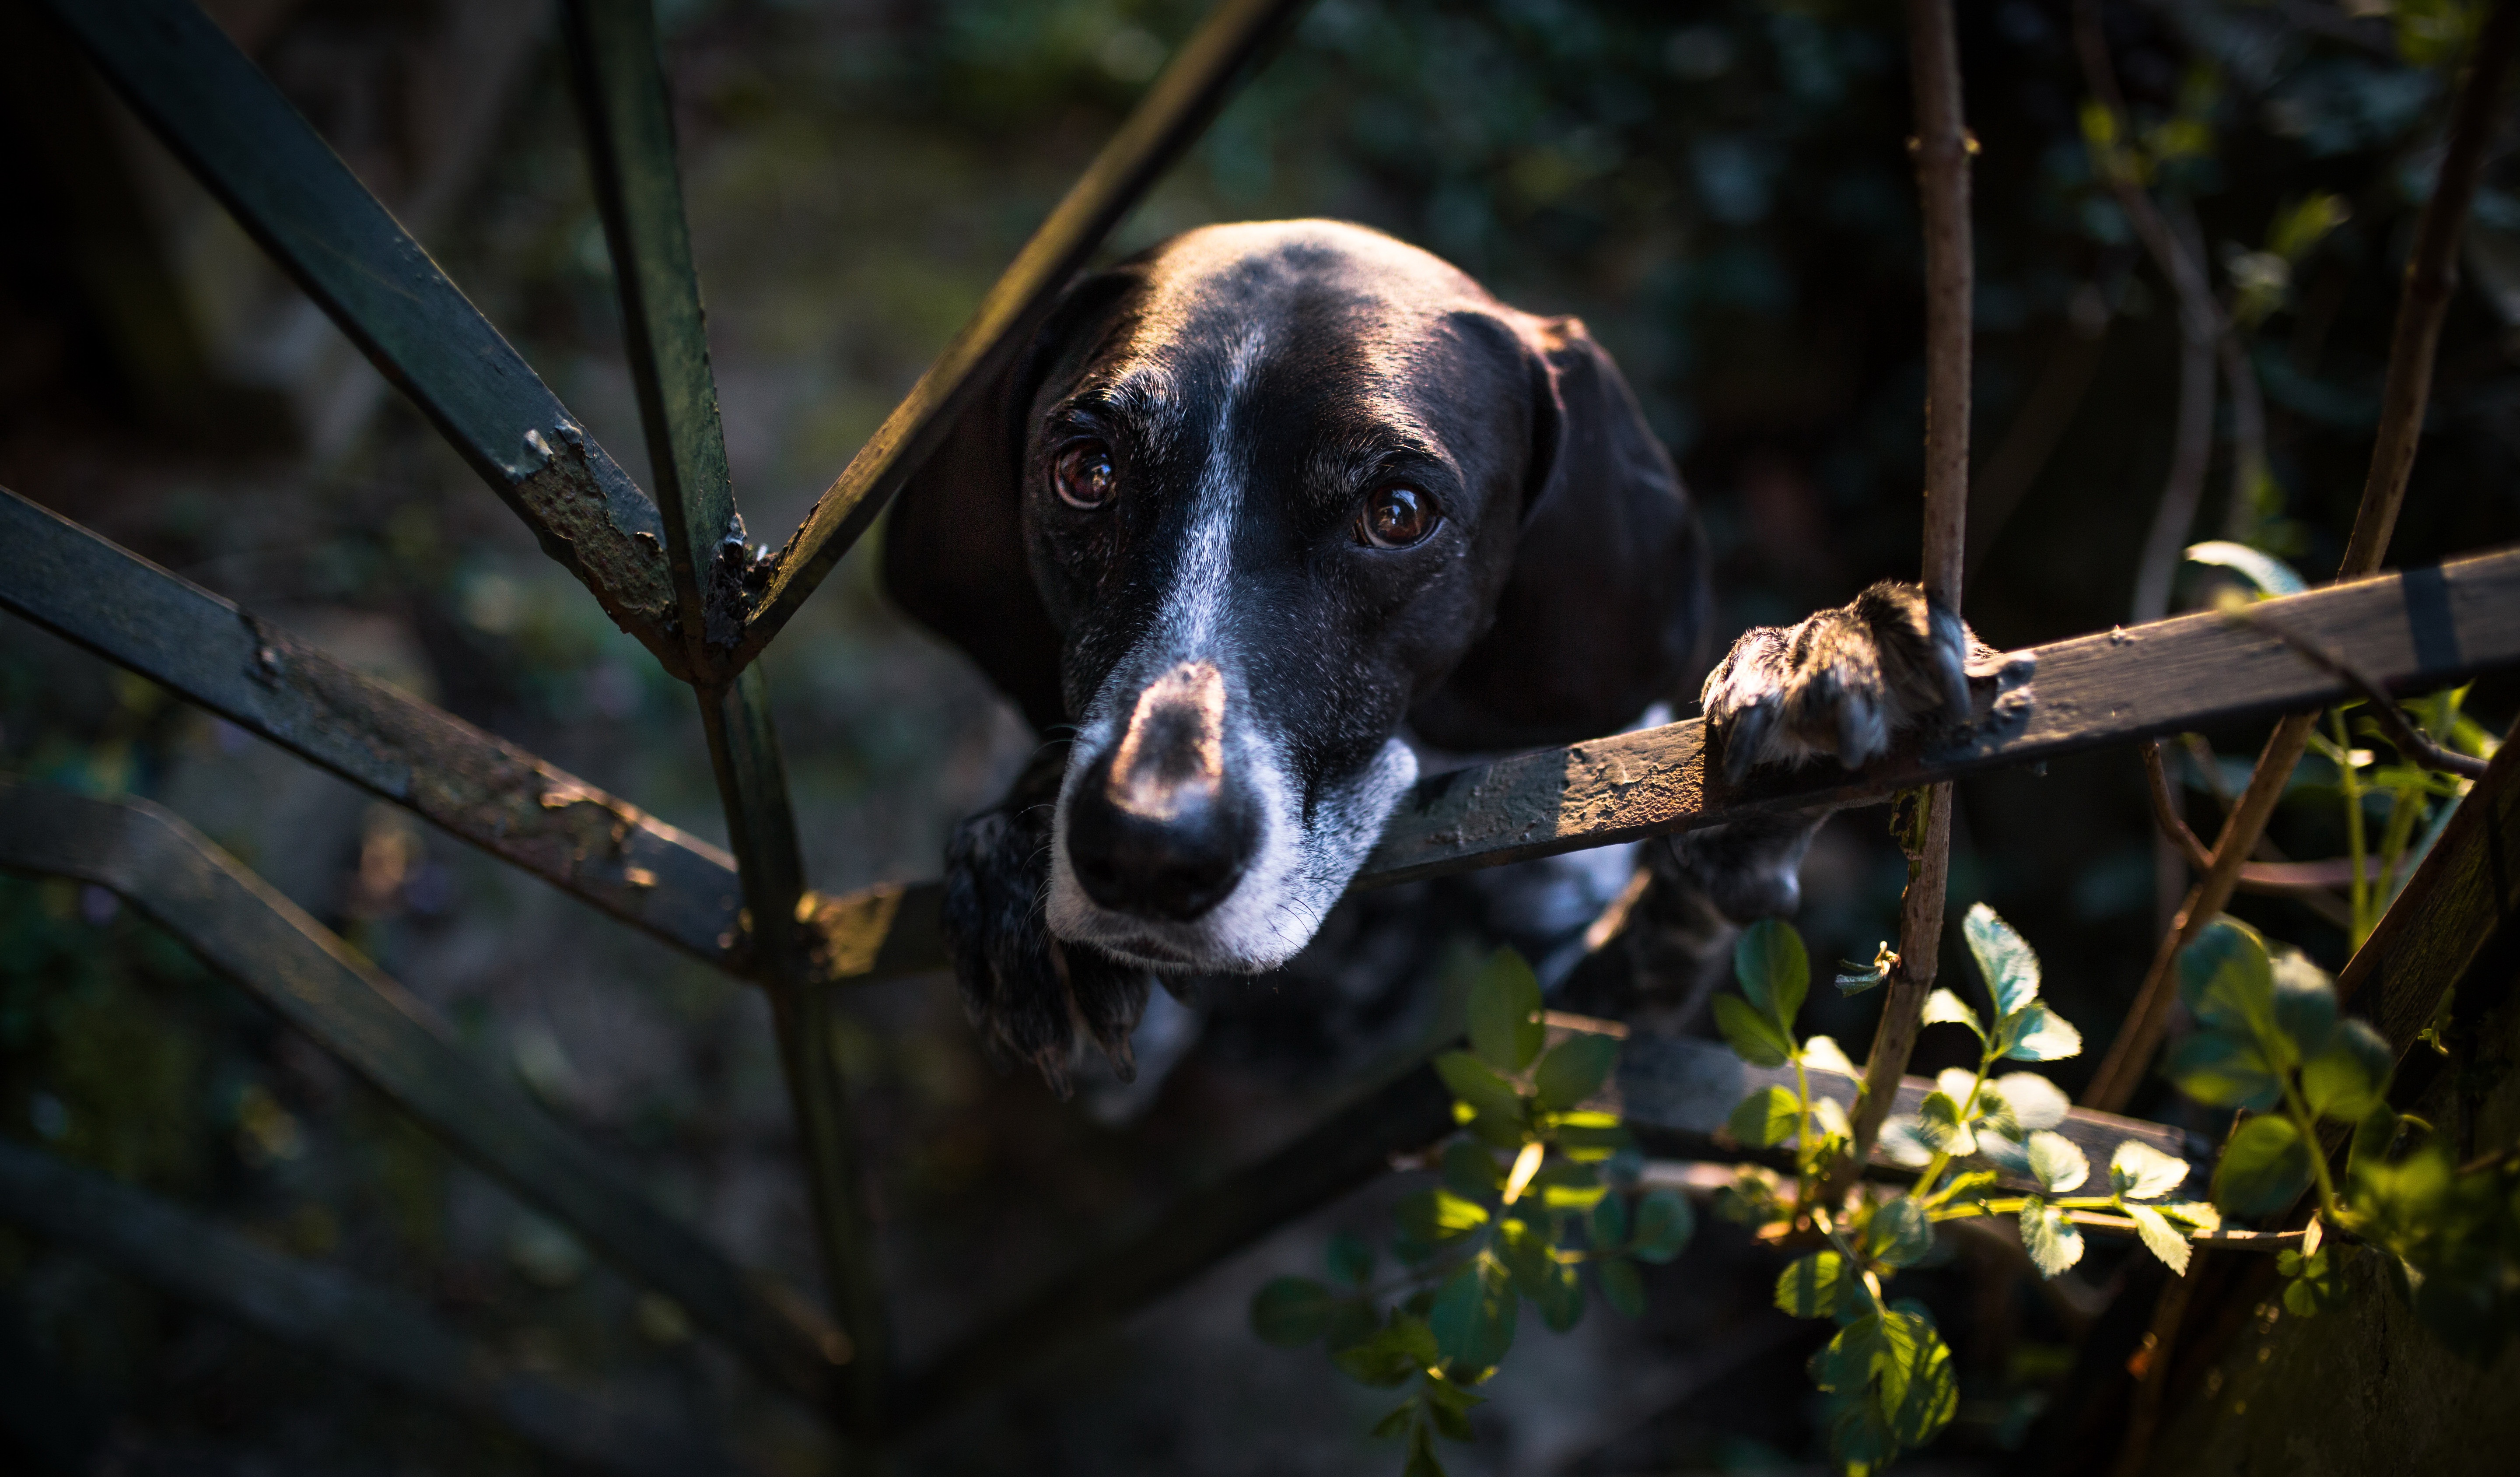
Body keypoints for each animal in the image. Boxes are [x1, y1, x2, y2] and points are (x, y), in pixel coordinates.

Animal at [882, 221, 1965, 1094]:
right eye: (1087, 471)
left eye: (1399, 512)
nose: (1148, 846)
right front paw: (1017, 856)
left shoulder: (1571, 1034)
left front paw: (1815, 679)